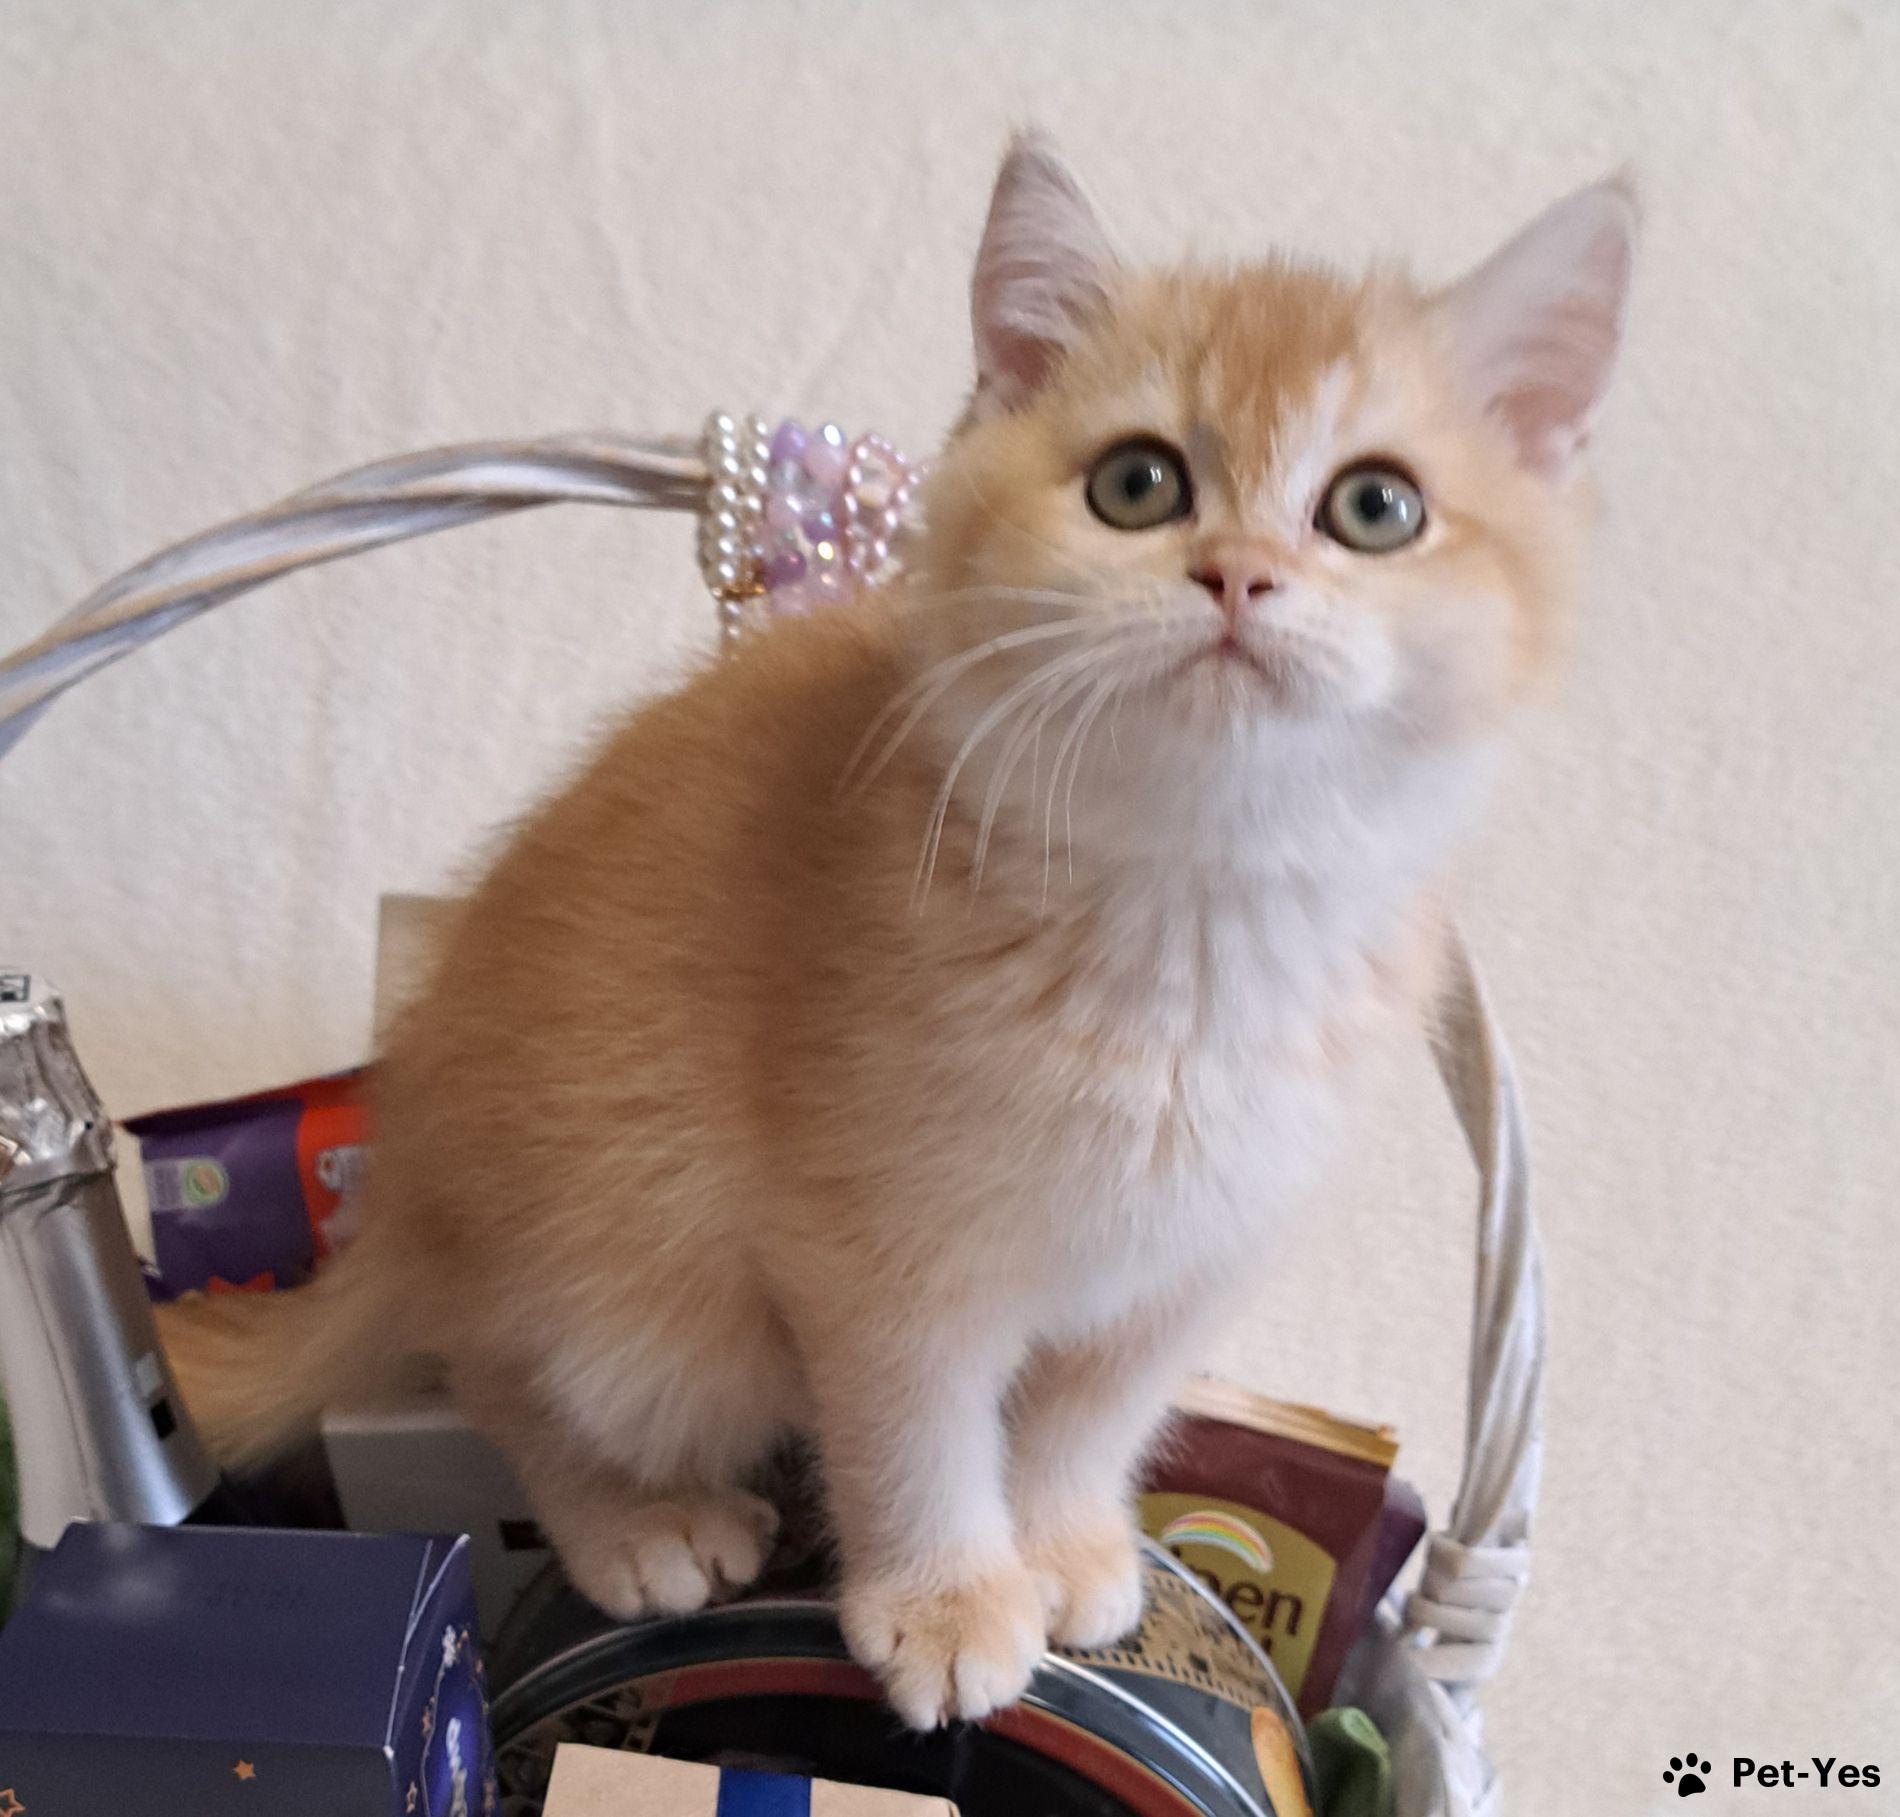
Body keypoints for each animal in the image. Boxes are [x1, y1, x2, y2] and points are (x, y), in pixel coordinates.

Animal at [161, 134, 1633, 1729]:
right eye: (1138, 482)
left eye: (1376, 508)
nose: (1238, 571)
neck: (1188, 914)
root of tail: (404, 1197)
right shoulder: (872, 1249)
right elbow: (916, 1431)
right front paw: (946, 1602)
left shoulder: (1188, 1266)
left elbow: (1089, 1415)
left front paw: (1063, 1543)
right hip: (625, 1266)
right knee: (498, 1362)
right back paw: (635, 1516)